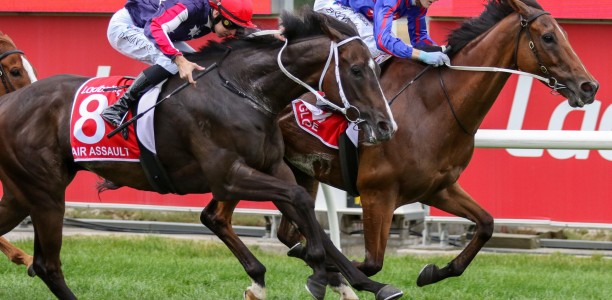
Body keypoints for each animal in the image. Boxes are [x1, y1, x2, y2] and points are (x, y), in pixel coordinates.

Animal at [0, 9, 402, 300]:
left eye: (374, 67)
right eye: (356, 70)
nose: (386, 125)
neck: (242, 91)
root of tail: (8, 102)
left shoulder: (273, 168)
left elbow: (308, 214)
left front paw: (364, 282)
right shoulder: (228, 175)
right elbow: (300, 202)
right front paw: (319, 272)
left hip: (24, 193)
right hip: (46, 192)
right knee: (48, 265)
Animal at [204, 0, 596, 292]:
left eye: (562, 33)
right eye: (549, 37)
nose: (589, 86)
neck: (433, 105)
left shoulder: (438, 187)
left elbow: (486, 224)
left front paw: (432, 272)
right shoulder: (377, 192)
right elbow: (371, 263)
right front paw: (342, 277)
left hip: (300, 171)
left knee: (282, 229)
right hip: (244, 166)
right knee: (217, 217)